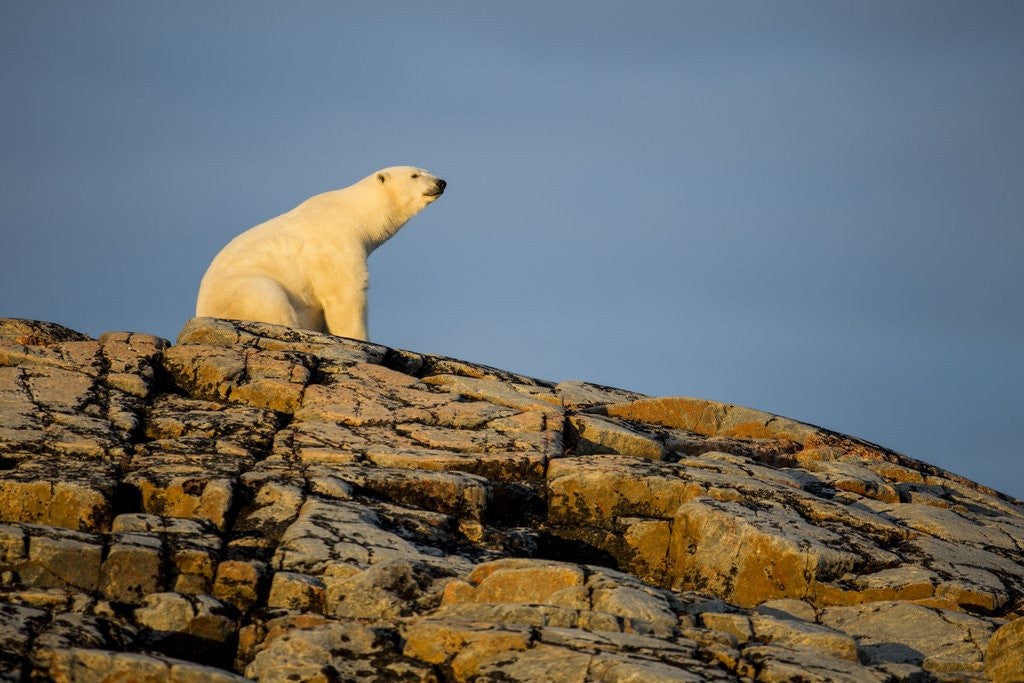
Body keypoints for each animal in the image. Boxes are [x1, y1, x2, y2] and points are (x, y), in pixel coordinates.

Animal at [195, 166, 446, 341]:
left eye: (426, 170)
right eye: (414, 175)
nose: (441, 182)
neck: (354, 213)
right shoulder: (335, 244)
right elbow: (345, 293)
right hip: (243, 287)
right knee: (267, 299)